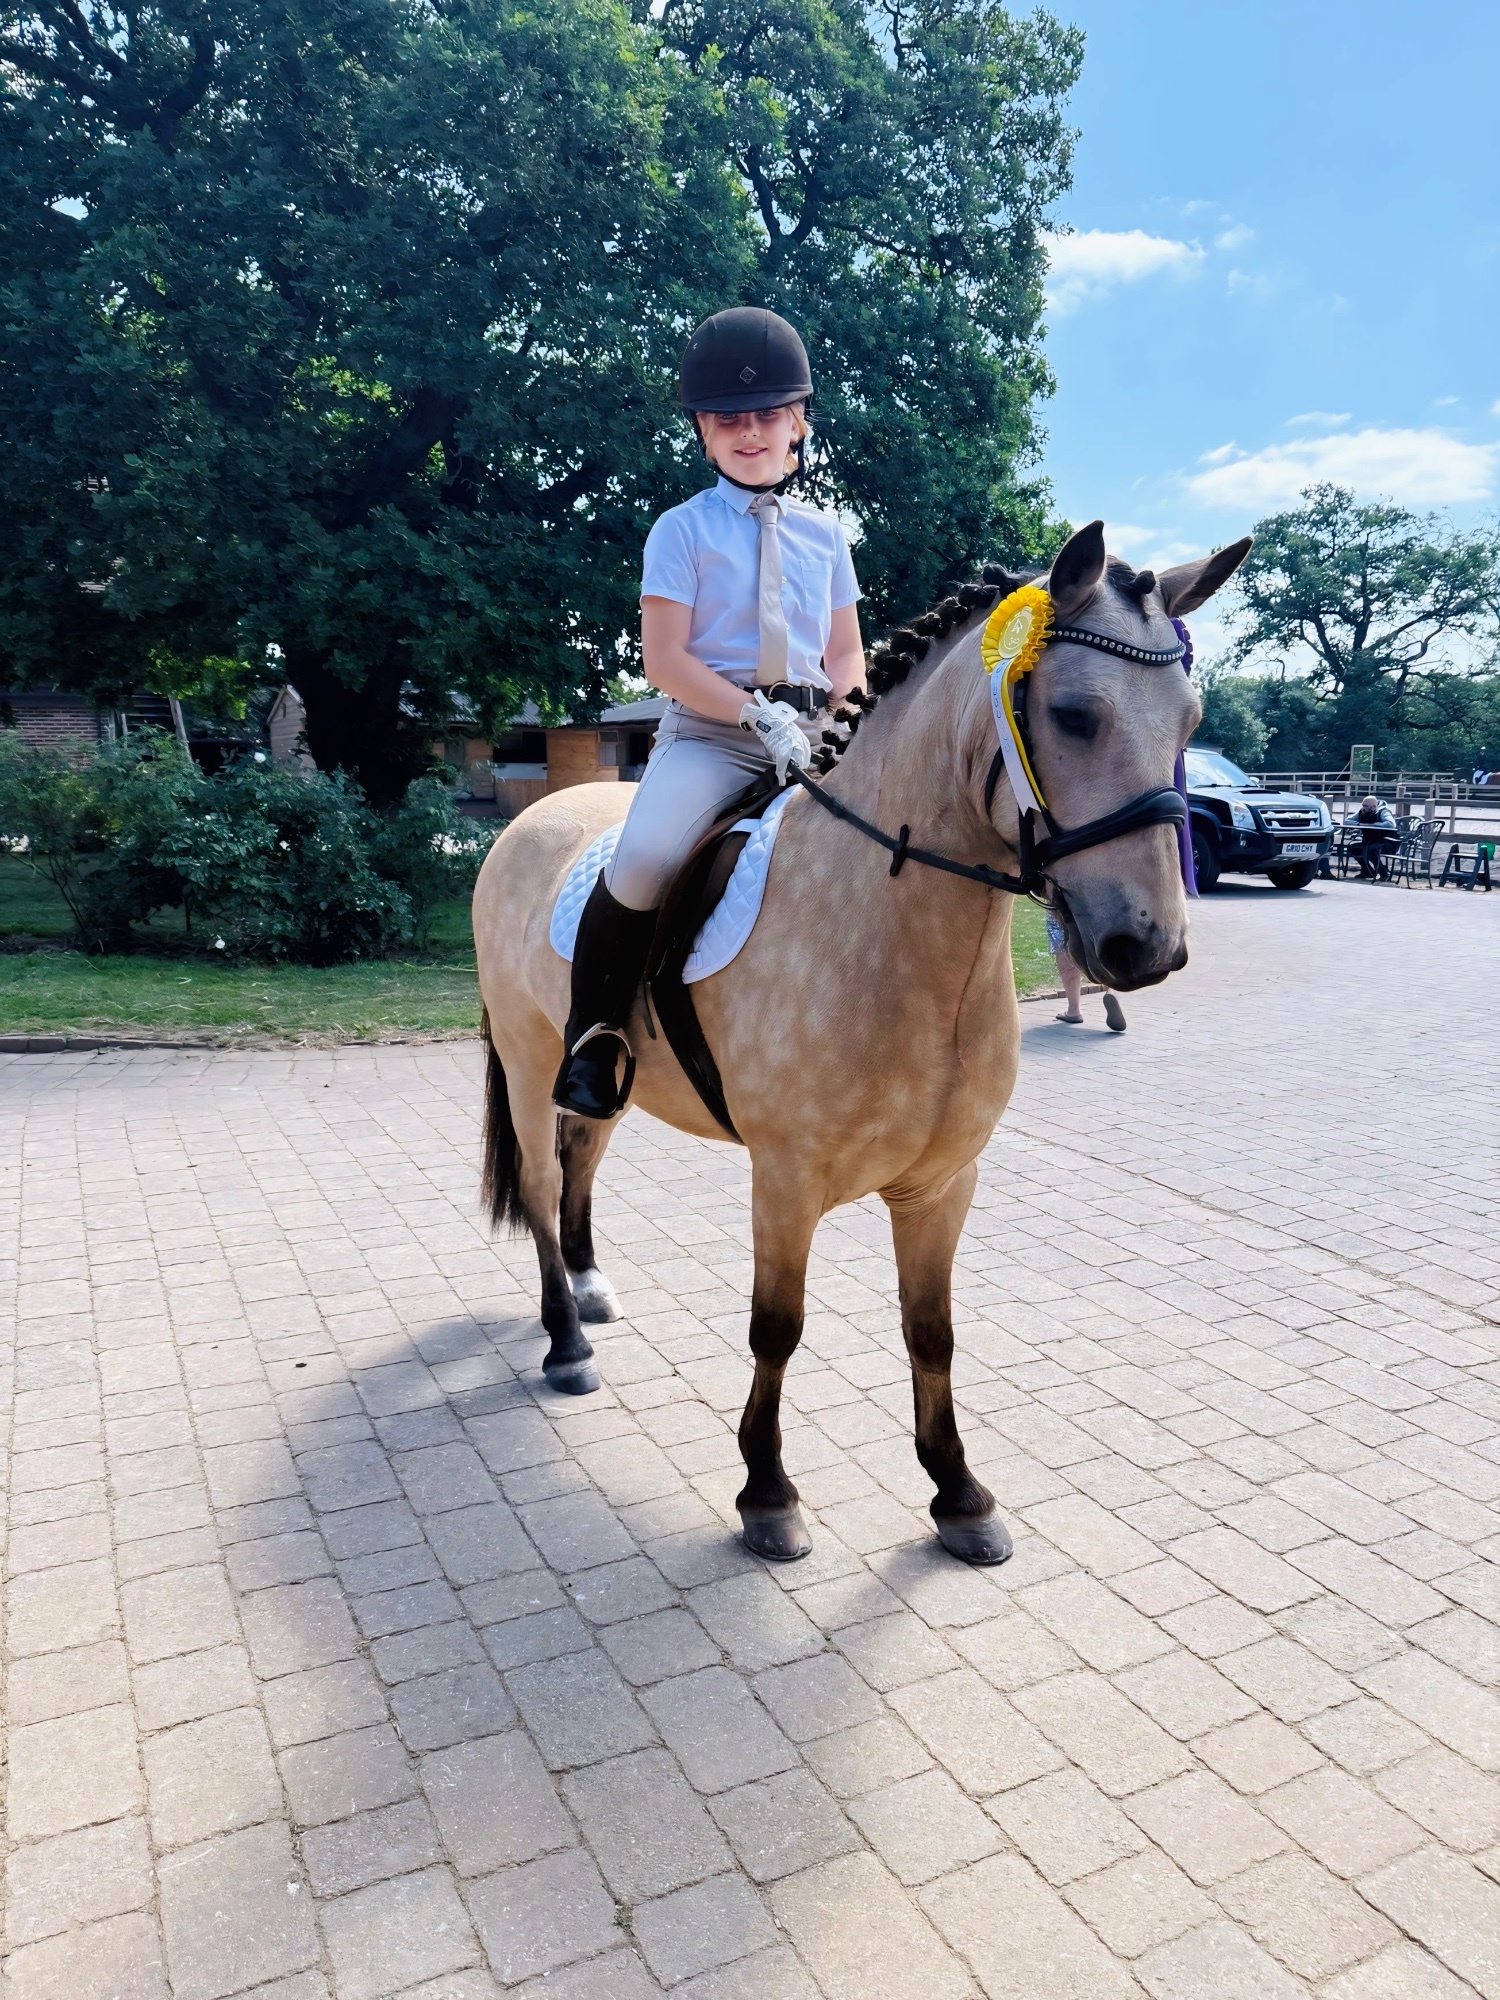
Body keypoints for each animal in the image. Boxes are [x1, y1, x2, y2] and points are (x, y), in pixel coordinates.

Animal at [472, 519, 1250, 1565]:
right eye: (1076, 714)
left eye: (1189, 718)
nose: (1148, 947)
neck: (898, 937)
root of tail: (532, 817)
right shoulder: (785, 1179)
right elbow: (777, 1328)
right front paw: (767, 1494)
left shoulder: (943, 1183)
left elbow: (933, 1333)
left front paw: (959, 1495)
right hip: (524, 1059)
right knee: (542, 1182)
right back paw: (566, 1341)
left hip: (606, 1072)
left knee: (581, 1151)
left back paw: (593, 1290)